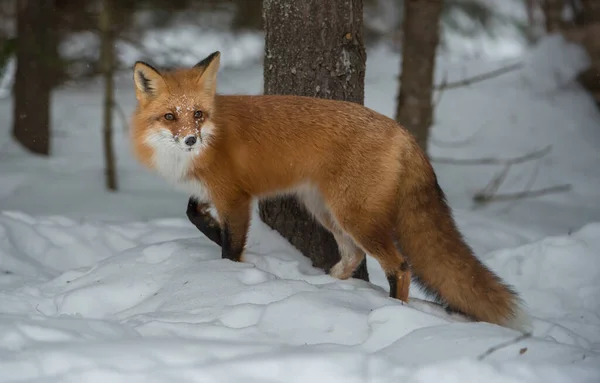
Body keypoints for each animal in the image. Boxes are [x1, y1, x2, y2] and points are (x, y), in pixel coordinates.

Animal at [130, 51, 528, 332]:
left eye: (197, 114)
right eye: (170, 117)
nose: (191, 140)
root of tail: (402, 131)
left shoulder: (236, 197)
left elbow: (230, 246)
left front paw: (231, 273)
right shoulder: (209, 192)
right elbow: (193, 214)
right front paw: (221, 239)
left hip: (354, 215)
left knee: (399, 267)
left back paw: (394, 311)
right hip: (324, 210)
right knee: (352, 257)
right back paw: (325, 290)